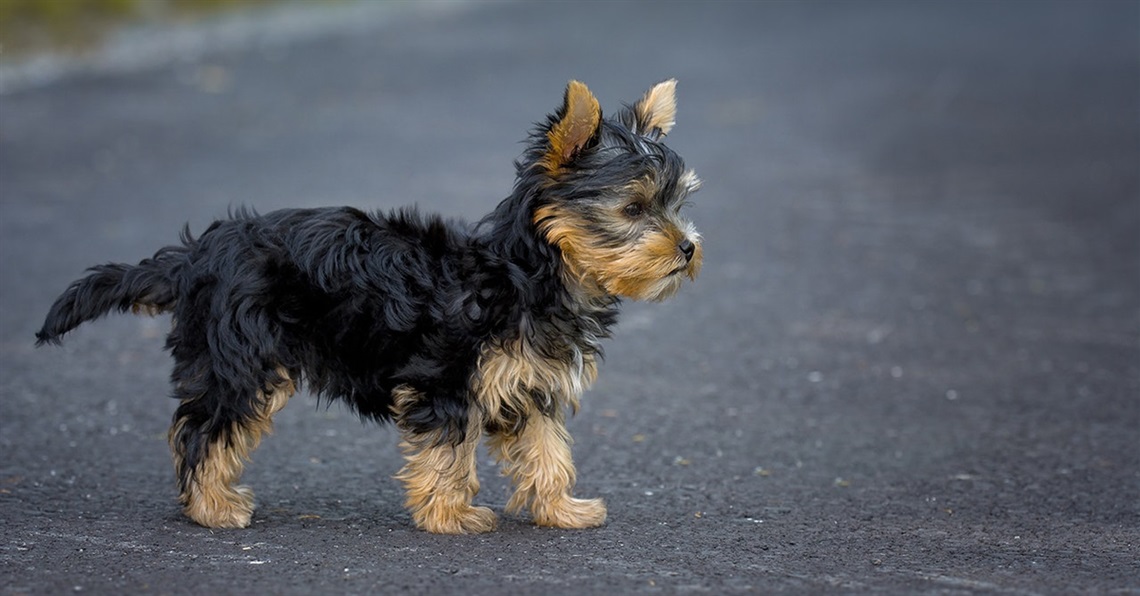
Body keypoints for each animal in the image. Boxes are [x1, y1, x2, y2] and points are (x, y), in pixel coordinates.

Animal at [37, 78, 702, 531]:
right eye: (634, 209)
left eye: (677, 204)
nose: (689, 247)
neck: (526, 274)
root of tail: (197, 255)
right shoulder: (447, 379)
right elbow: (448, 450)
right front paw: (450, 516)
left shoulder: (528, 384)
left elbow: (547, 449)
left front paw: (561, 508)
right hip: (243, 358)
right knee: (207, 429)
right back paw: (212, 508)